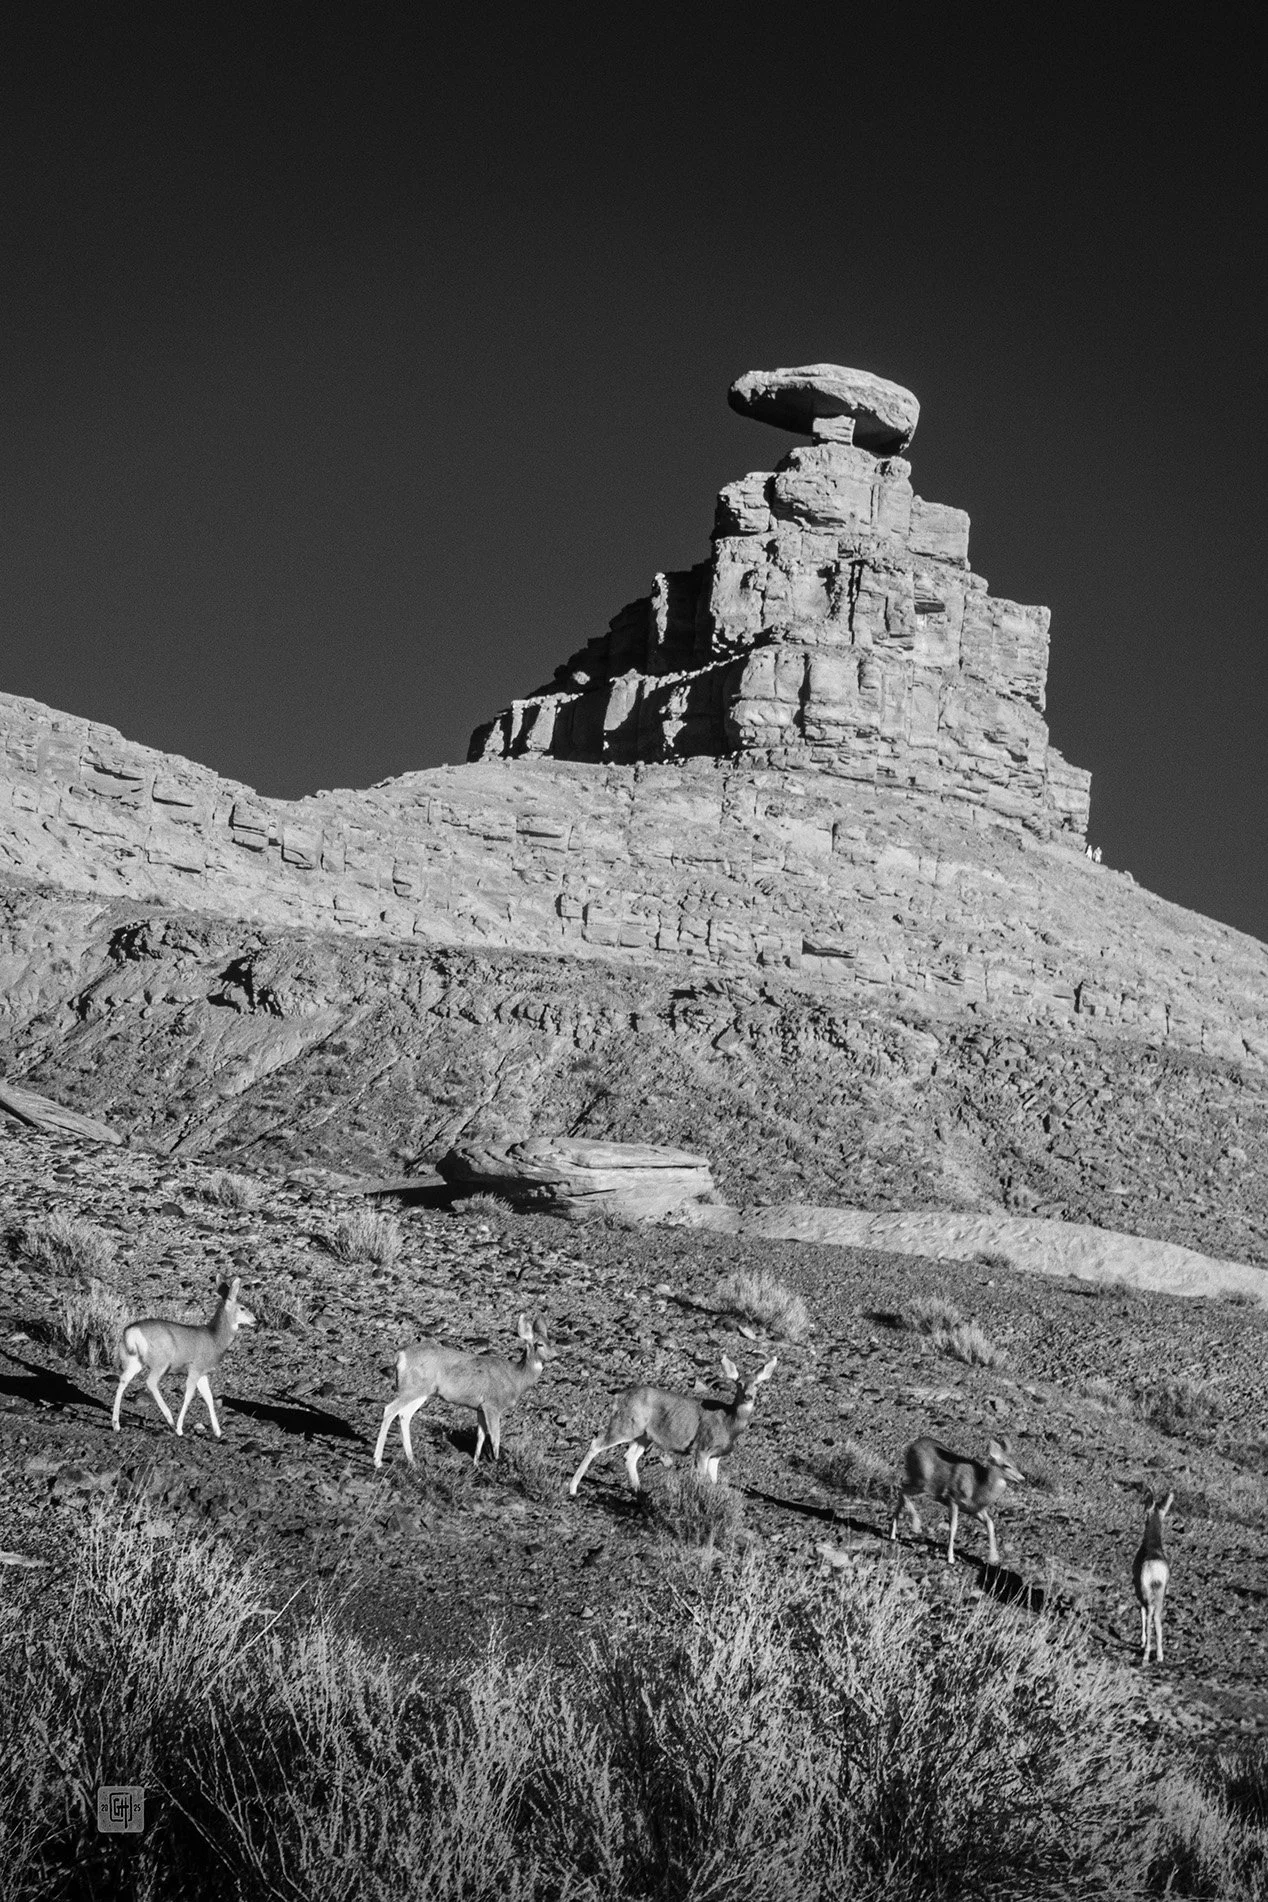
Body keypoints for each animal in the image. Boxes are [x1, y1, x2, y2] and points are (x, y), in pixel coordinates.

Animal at [111, 1277, 256, 1437]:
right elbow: (189, 1396)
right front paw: (180, 1429)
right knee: (150, 1382)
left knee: (123, 1380)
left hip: (134, 1360)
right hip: (161, 1361)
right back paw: (171, 1421)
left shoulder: (203, 1373)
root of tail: (132, 1332)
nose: (255, 1320)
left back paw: (116, 1424)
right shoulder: (194, 1369)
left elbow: (208, 1398)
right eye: (243, 1308)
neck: (214, 1339)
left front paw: (218, 1431)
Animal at [373, 1313, 555, 1468]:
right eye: (539, 1344)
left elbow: (481, 1435)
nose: (555, 1356)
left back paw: (412, 1461)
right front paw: (497, 1463)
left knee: (404, 1415)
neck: (516, 1378)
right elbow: (495, 1437)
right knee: (390, 1410)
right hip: (412, 1388)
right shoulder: (492, 1404)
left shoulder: (480, 1408)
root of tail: (400, 1355)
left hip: (421, 1391)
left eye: (551, 1342)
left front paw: (476, 1463)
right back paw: (378, 1461)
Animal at [568, 1354, 778, 1496]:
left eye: (757, 1384)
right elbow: (701, 1479)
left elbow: (713, 1481)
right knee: (596, 1443)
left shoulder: (717, 1455)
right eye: (739, 1383)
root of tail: (618, 1397)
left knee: (629, 1457)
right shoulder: (702, 1448)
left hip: (644, 1435)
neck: (729, 1423)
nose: (749, 1396)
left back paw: (639, 1491)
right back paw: (572, 1488)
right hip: (626, 1425)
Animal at [890, 1436, 1024, 1565]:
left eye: (1016, 1464)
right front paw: (950, 1558)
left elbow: (990, 1524)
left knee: (902, 1490)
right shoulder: (953, 1499)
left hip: (919, 1483)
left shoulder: (974, 1509)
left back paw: (893, 1534)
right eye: (1006, 1465)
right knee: (903, 1491)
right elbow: (953, 1527)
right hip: (921, 1481)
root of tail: (912, 1446)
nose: (1022, 1478)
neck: (977, 1487)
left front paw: (993, 1557)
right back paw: (915, 1525)